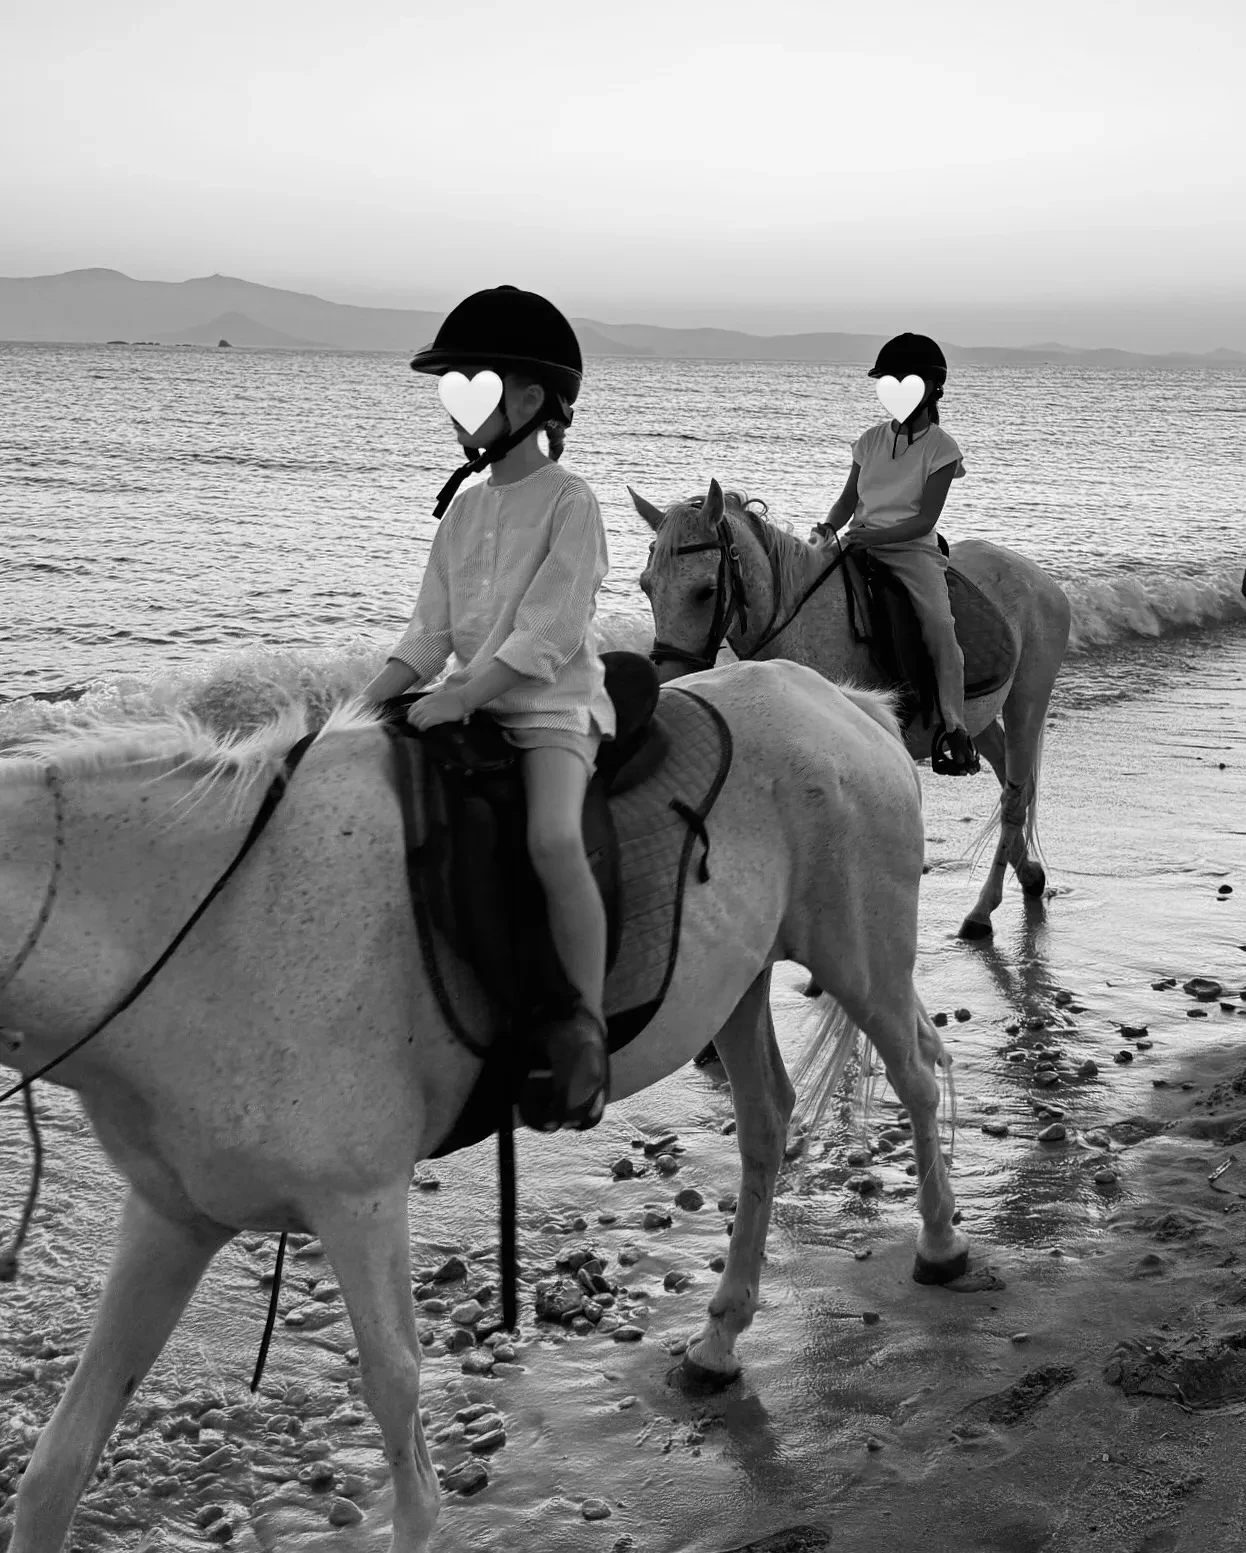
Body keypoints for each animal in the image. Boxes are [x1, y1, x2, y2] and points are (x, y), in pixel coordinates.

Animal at [0, 658, 966, 1553]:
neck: (204, 932)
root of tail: (841, 697)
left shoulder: (358, 1203)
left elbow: (396, 1397)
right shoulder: (173, 1215)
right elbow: (62, 1457)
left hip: (859, 954)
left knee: (917, 1070)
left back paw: (941, 1244)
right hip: (736, 984)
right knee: (767, 1121)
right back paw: (719, 1340)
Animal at [631, 478, 1071, 941]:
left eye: (706, 592)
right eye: (647, 586)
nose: (669, 678)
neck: (803, 628)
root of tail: (1037, 577)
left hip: (1028, 699)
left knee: (1015, 796)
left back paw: (982, 911)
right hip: (979, 720)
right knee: (1010, 781)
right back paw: (1029, 876)